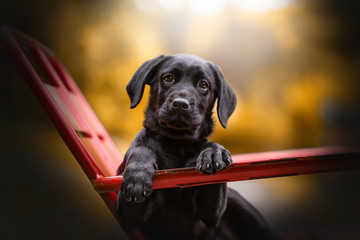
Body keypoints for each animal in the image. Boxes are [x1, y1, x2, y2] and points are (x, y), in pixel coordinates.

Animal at [116, 54, 280, 240]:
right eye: (168, 78)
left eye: (203, 84)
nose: (181, 104)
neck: (177, 144)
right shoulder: (129, 216)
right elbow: (141, 148)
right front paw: (137, 176)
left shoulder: (210, 216)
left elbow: (210, 149)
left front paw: (214, 154)